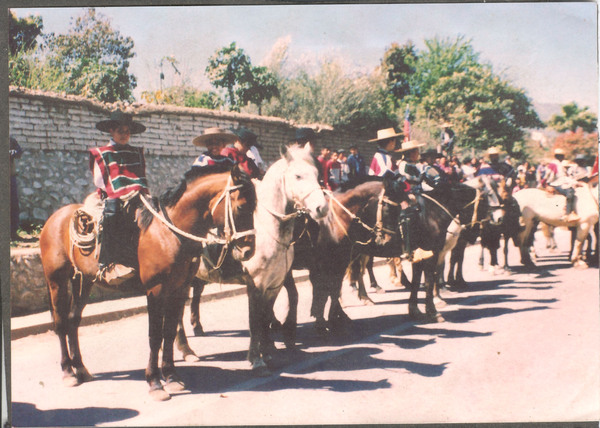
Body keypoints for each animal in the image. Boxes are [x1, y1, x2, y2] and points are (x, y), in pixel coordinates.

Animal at [39, 165, 255, 402]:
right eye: (242, 206)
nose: (249, 251)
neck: (168, 232)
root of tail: (55, 217)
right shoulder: (155, 290)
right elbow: (155, 335)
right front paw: (154, 382)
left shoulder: (179, 289)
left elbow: (169, 332)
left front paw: (171, 376)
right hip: (56, 281)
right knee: (61, 323)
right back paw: (68, 372)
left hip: (83, 282)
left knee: (72, 321)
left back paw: (81, 369)